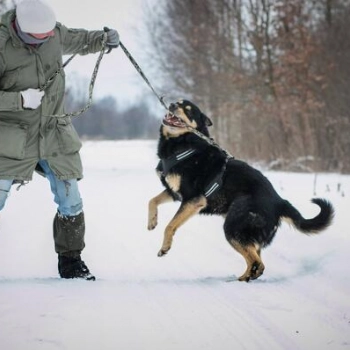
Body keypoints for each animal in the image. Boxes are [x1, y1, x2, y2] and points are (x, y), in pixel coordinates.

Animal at [147, 99, 334, 282]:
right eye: (177, 102)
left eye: (188, 110)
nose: (172, 105)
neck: (185, 144)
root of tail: (280, 201)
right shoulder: (175, 194)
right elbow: (152, 201)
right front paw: (152, 221)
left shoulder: (193, 199)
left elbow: (170, 225)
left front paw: (165, 247)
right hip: (244, 232)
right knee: (255, 260)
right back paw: (244, 277)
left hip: (233, 227)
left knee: (257, 262)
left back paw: (243, 279)